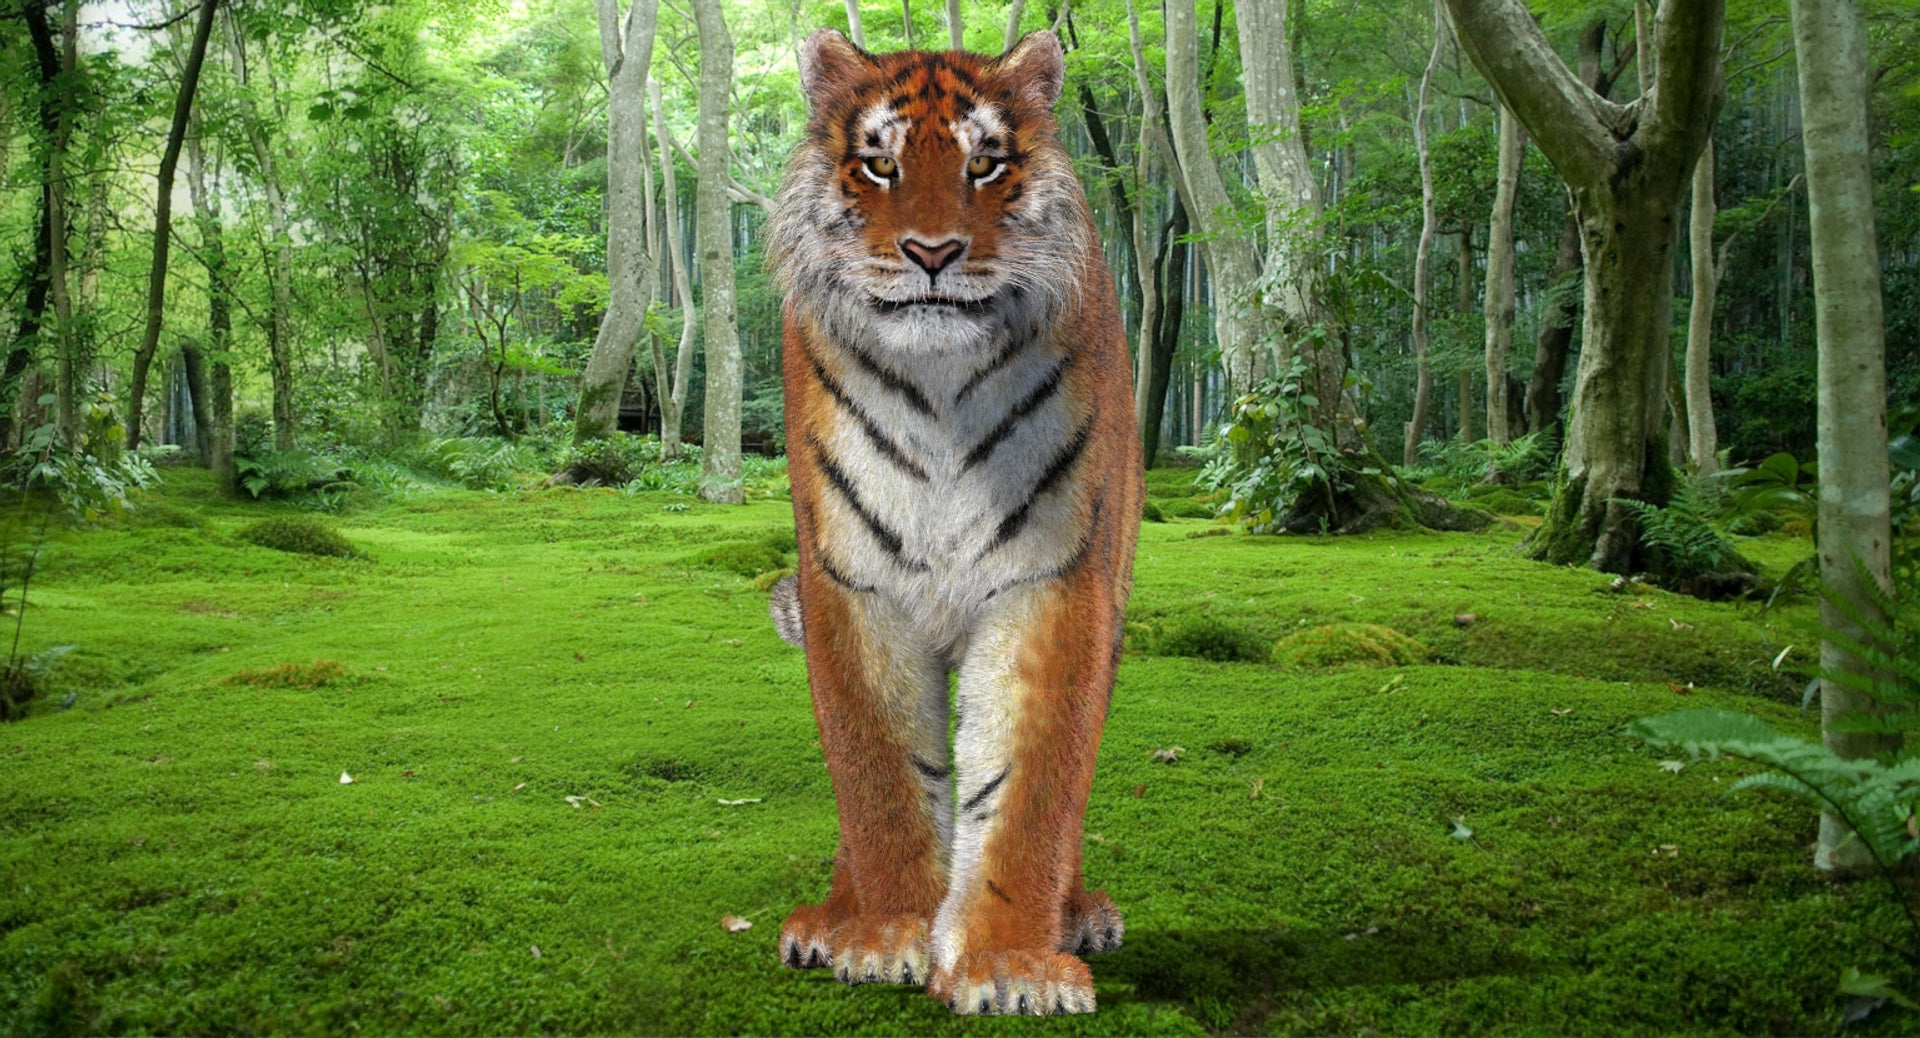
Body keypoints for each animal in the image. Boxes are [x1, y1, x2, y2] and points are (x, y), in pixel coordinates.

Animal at [762, 27, 1142, 1016]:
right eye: (880, 163)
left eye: (985, 163)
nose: (932, 251)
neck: (940, 391)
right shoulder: (853, 586)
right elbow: (883, 780)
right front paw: (887, 934)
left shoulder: (1051, 583)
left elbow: (1026, 789)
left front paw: (1010, 964)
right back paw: (826, 921)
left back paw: (1080, 916)